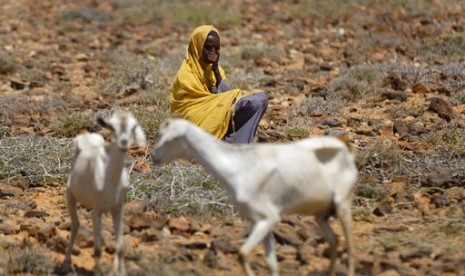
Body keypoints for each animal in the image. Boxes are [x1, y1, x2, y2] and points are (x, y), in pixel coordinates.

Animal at [61, 111, 145, 274]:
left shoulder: (118, 209)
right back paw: (66, 264)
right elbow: (98, 249)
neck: (109, 180)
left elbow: (120, 247)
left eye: (133, 127)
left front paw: (121, 272)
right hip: (71, 196)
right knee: (75, 226)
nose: (124, 143)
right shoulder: (96, 211)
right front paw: (98, 271)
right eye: (112, 127)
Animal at [150, 118, 358, 276]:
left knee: (349, 244)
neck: (238, 167)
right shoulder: (258, 221)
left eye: (169, 139)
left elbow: (242, 253)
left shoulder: (268, 218)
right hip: (321, 215)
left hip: (343, 204)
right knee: (334, 241)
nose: (153, 156)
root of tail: (345, 150)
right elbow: (271, 263)